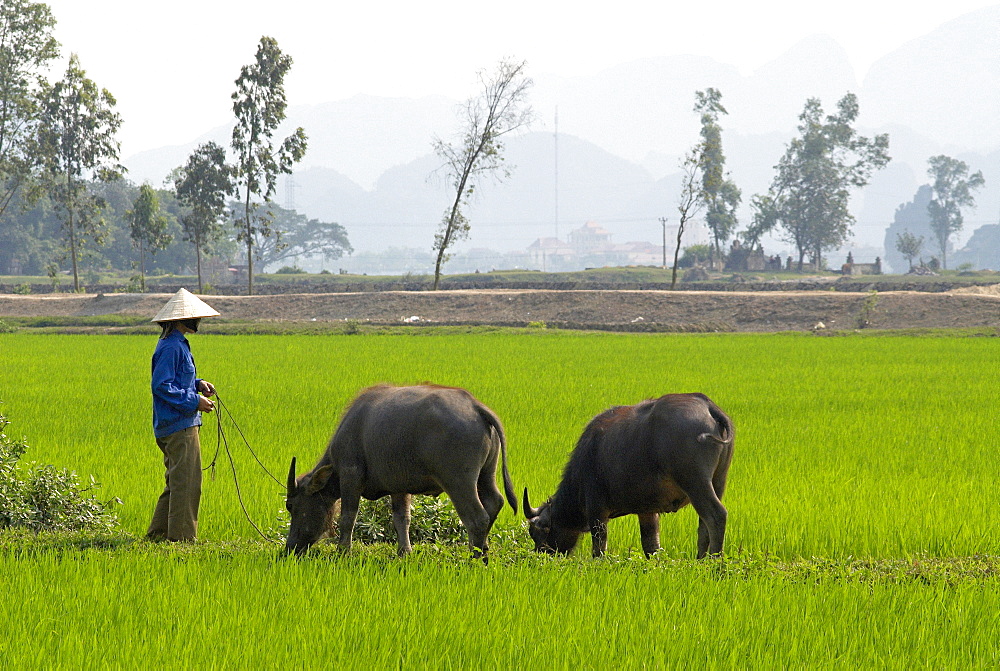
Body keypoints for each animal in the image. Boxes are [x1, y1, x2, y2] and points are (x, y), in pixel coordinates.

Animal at [282, 386, 516, 560]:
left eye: (291, 505)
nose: (290, 548)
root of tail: (475, 406)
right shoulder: (399, 488)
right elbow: (402, 518)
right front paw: (404, 552)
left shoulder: (351, 476)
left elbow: (348, 517)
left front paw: (343, 551)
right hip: (486, 475)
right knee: (494, 502)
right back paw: (483, 551)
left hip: (459, 482)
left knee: (477, 518)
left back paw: (474, 558)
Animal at [524, 394, 736, 560]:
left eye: (537, 532)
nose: (540, 554)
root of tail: (708, 406)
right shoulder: (647, 512)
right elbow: (651, 546)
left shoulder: (596, 510)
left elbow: (599, 548)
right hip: (718, 481)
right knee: (703, 524)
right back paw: (701, 559)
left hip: (695, 482)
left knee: (716, 515)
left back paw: (713, 562)